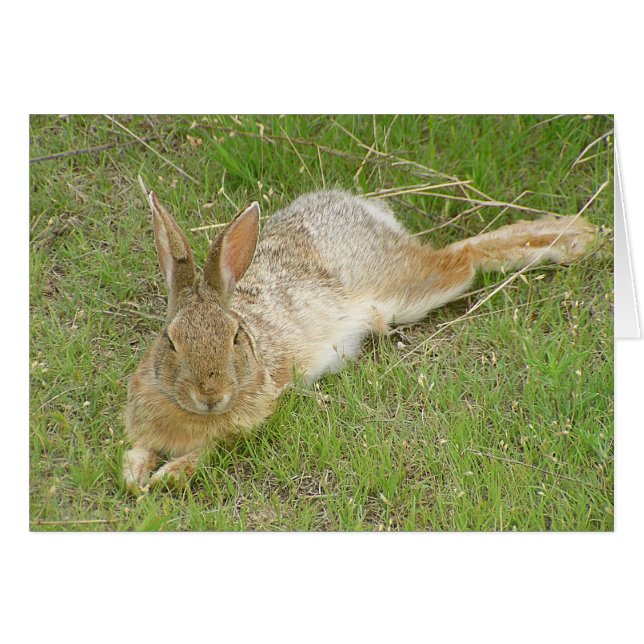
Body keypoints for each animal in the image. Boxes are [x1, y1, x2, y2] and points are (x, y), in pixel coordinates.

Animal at [123, 189, 597, 487]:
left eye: (235, 336)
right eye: (170, 340)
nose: (211, 396)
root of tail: (365, 210)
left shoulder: (249, 421)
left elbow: (205, 454)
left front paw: (168, 477)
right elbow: (136, 454)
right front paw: (136, 477)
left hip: (408, 292)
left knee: (463, 256)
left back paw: (575, 237)